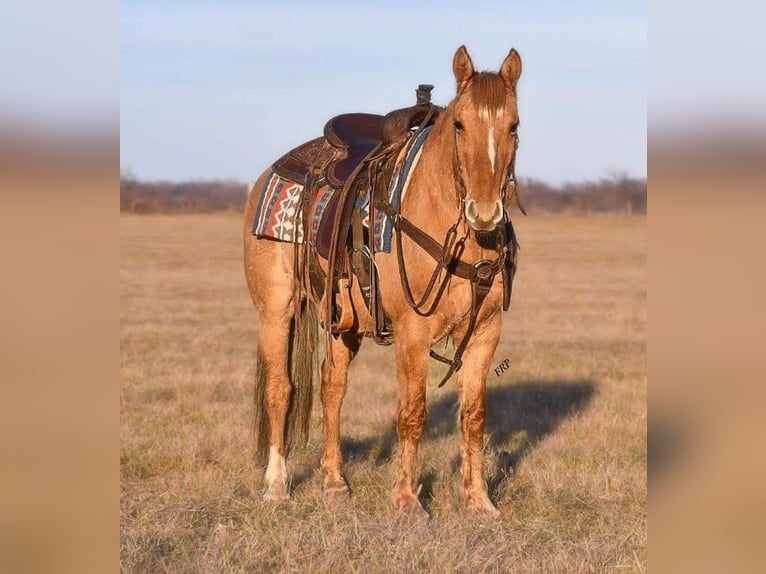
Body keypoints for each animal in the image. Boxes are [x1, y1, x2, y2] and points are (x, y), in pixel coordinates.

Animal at [244, 46, 520, 516]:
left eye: (514, 126)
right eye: (460, 124)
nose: (484, 212)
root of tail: (268, 173)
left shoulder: (485, 332)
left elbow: (474, 417)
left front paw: (479, 501)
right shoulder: (412, 331)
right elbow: (412, 414)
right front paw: (407, 500)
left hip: (342, 320)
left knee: (331, 386)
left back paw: (334, 482)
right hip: (276, 310)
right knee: (281, 390)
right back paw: (276, 485)